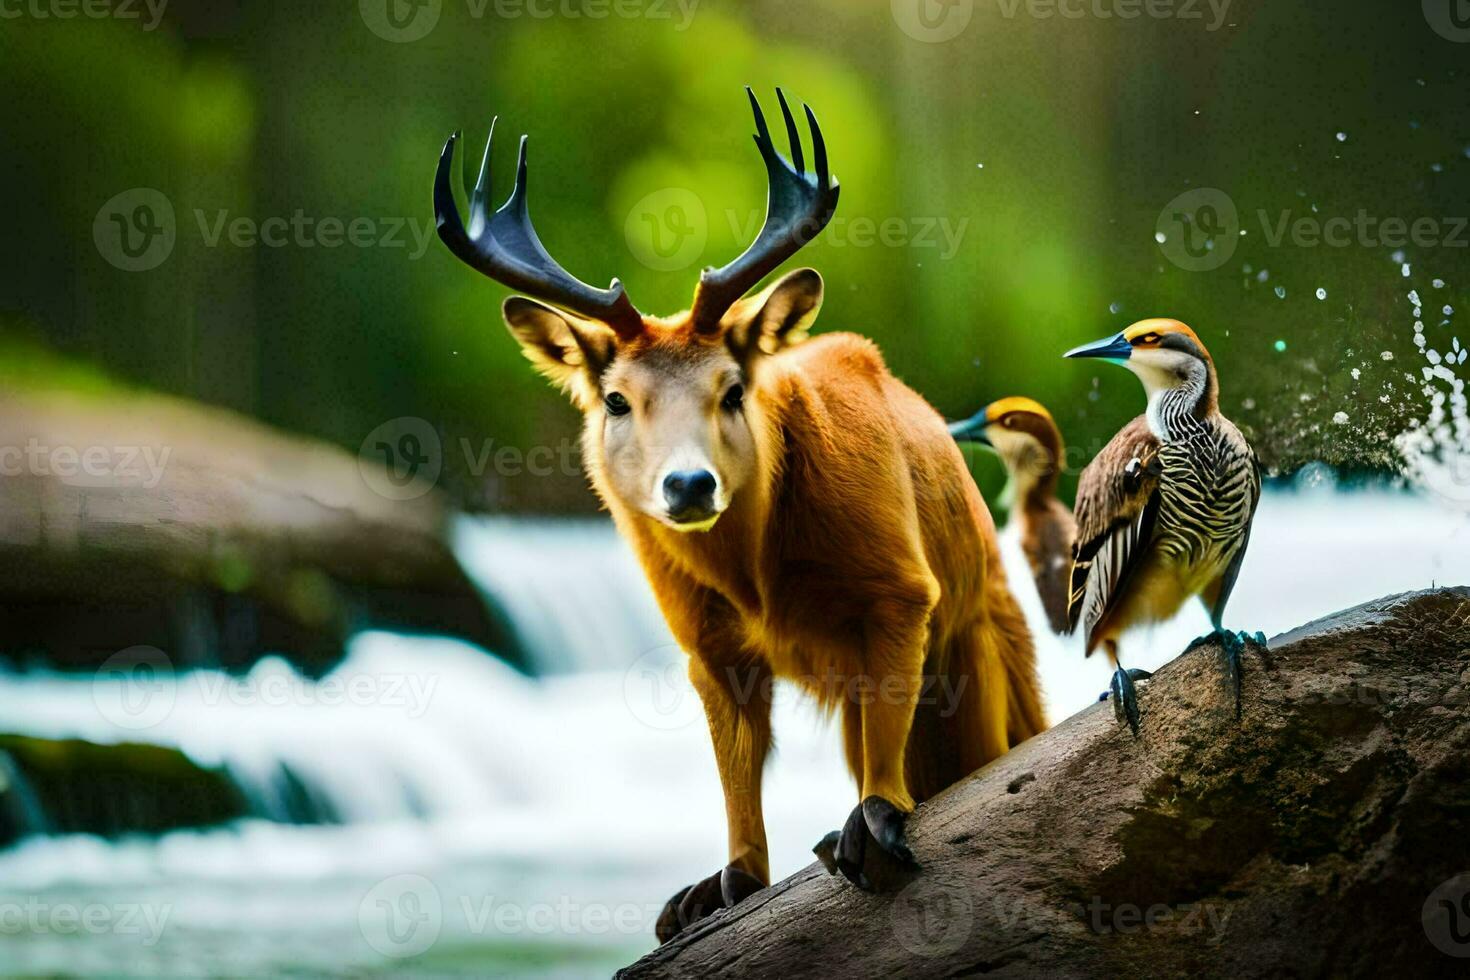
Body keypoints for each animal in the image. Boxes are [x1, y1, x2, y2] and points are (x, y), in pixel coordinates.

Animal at [429, 89, 1052, 940]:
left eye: (731, 388)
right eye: (616, 399)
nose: (688, 485)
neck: (759, 579)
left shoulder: (901, 588)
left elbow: (885, 744)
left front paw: (873, 823)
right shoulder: (704, 641)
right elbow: (737, 769)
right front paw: (721, 883)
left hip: (995, 654)